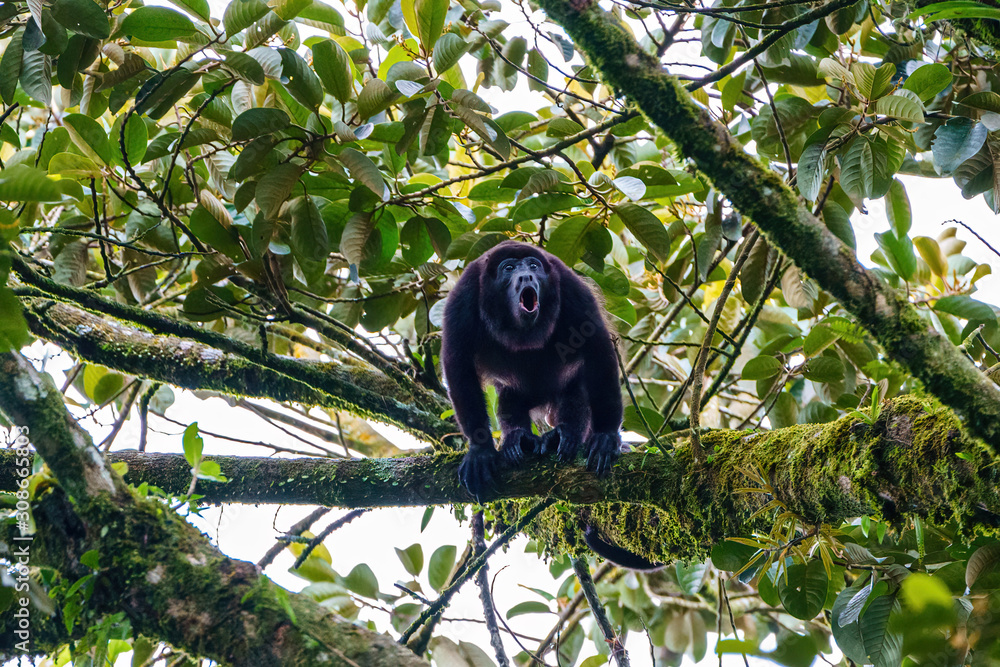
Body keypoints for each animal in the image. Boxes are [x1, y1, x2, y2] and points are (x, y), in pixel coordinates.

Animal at [440, 240, 620, 496]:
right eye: (509, 268)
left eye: (533, 266)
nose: (526, 276)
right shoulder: (463, 297)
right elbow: (458, 365)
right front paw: (480, 450)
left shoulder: (571, 288)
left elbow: (597, 349)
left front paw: (606, 435)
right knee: (509, 401)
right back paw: (520, 439)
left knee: (575, 393)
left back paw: (562, 435)